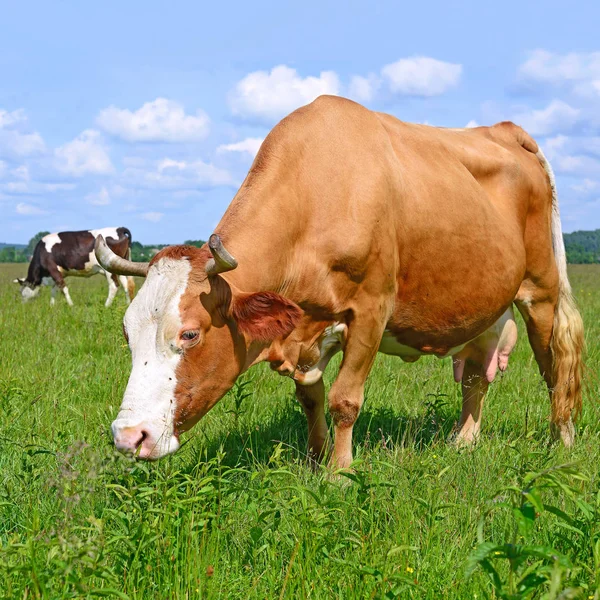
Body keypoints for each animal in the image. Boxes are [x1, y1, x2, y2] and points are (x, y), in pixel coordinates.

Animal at [96, 96, 584, 466]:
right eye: (126, 334)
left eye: (190, 334)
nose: (128, 436)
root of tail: (504, 128)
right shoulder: (304, 327)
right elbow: (311, 398)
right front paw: (315, 459)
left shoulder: (371, 308)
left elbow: (344, 400)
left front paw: (339, 472)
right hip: (487, 305)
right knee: (477, 375)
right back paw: (464, 441)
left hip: (540, 289)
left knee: (553, 365)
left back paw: (562, 442)